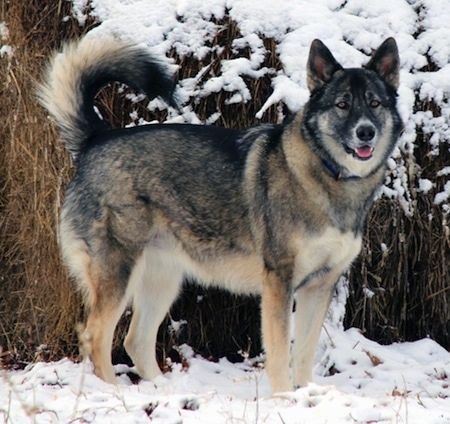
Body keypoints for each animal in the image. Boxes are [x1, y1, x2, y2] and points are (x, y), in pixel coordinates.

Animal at [38, 34, 402, 394]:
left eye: (375, 103)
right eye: (342, 105)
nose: (366, 132)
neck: (331, 177)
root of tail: (96, 139)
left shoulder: (320, 286)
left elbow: (304, 353)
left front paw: (307, 394)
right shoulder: (279, 284)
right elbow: (280, 353)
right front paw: (284, 398)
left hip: (163, 281)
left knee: (135, 341)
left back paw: (165, 391)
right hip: (118, 275)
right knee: (95, 335)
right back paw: (113, 393)